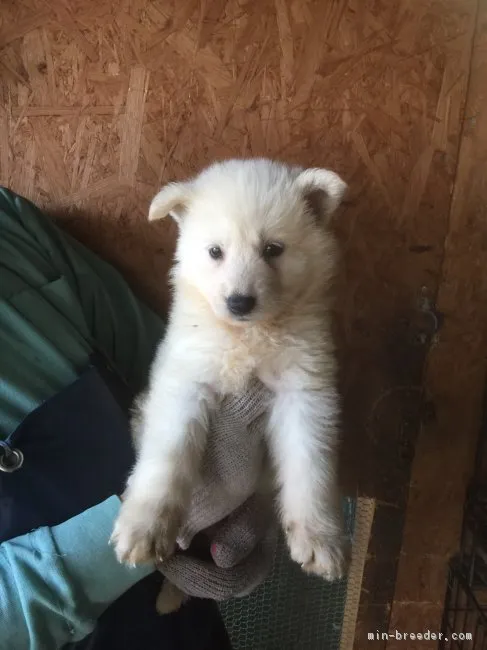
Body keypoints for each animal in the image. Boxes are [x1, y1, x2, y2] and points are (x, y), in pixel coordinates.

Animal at [112, 159, 348, 580]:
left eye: (273, 249)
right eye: (215, 251)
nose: (239, 302)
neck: (247, 335)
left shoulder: (304, 388)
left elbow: (311, 463)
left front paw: (321, 538)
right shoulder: (187, 379)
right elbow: (167, 454)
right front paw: (145, 527)